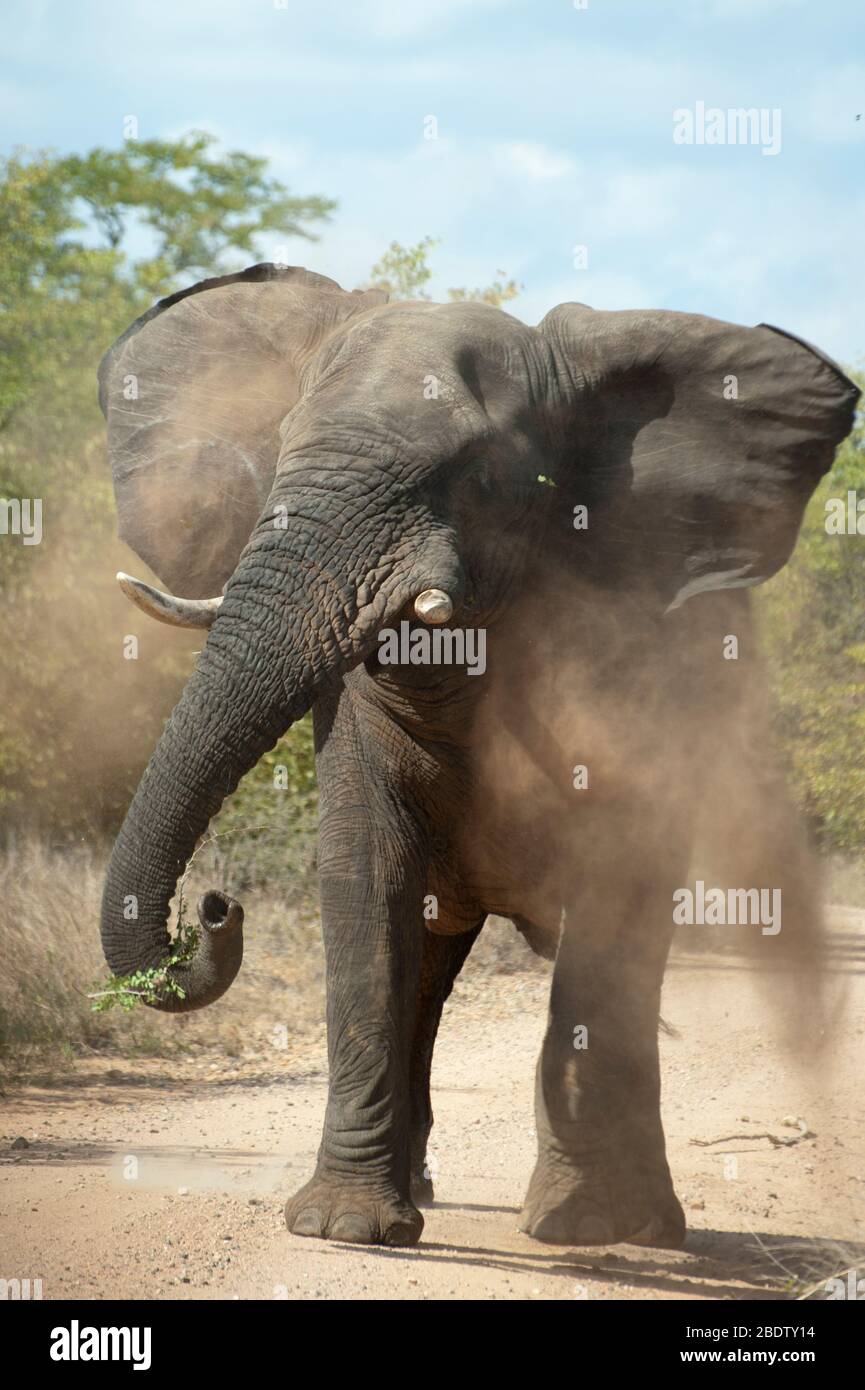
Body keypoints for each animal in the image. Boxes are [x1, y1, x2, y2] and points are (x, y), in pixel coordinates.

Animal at [96, 262, 862, 1251]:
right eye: (281, 450)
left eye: (473, 473)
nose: (215, 908)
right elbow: (365, 875)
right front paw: (344, 1230)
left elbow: (616, 883)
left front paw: (584, 1229)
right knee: (425, 959)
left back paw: (641, 1226)